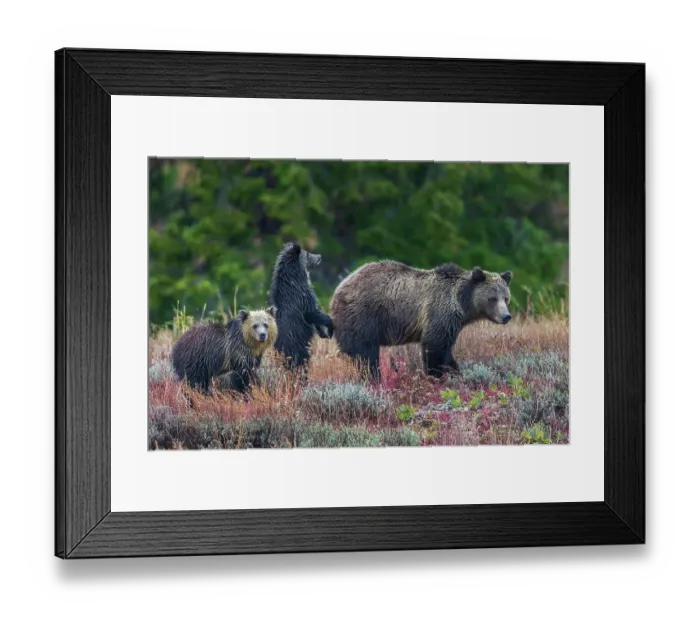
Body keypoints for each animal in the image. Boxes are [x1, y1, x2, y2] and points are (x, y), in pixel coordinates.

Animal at [330, 261, 513, 380]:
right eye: (492, 298)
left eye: (506, 298)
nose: (506, 316)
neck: (461, 304)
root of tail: (339, 288)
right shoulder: (439, 312)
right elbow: (434, 346)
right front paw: (436, 375)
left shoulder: (452, 324)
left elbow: (446, 351)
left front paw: (455, 372)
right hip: (363, 316)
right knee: (365, 353)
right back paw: (373, 377)